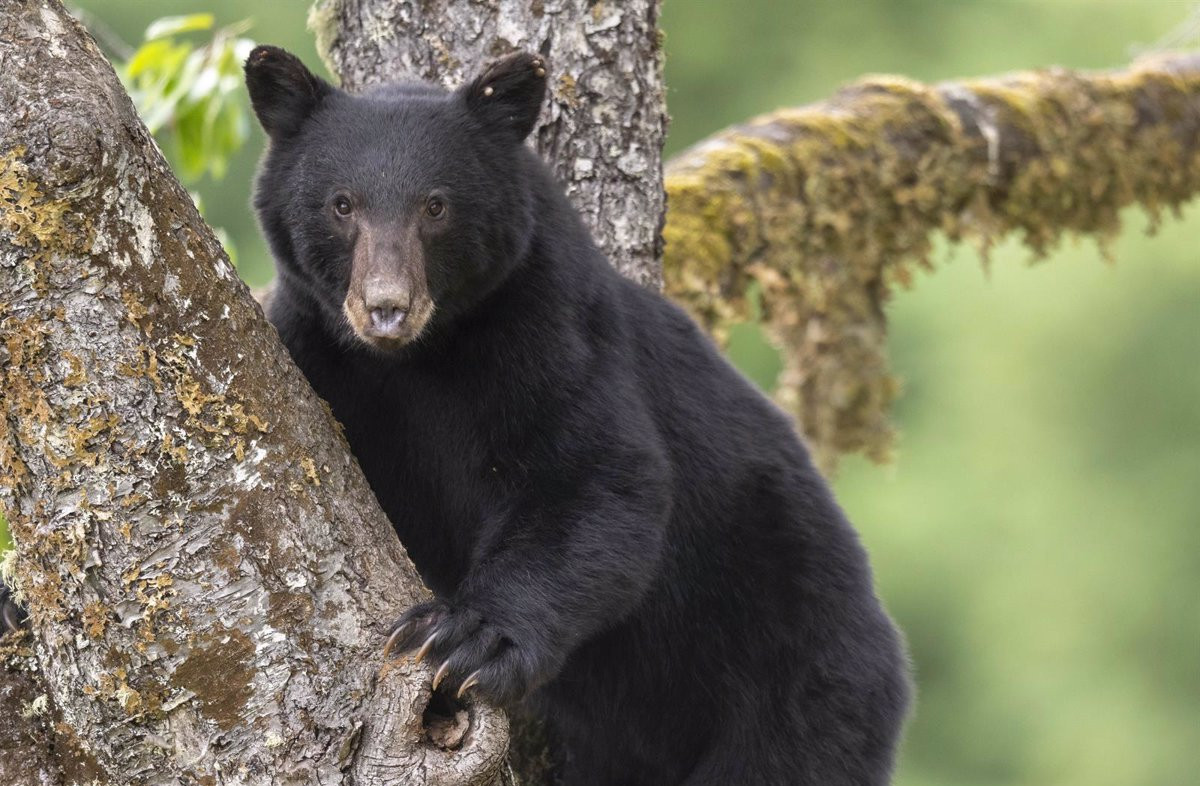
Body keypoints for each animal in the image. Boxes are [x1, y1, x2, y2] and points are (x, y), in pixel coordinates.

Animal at [241, 46, 907, 782]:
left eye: (436, 206)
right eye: (342, 204)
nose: (387, 307)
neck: (421, 358)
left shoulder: (552, 326)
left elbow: (595, 476)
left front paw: (465, 638)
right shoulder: (316, 349)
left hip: (792, 664)